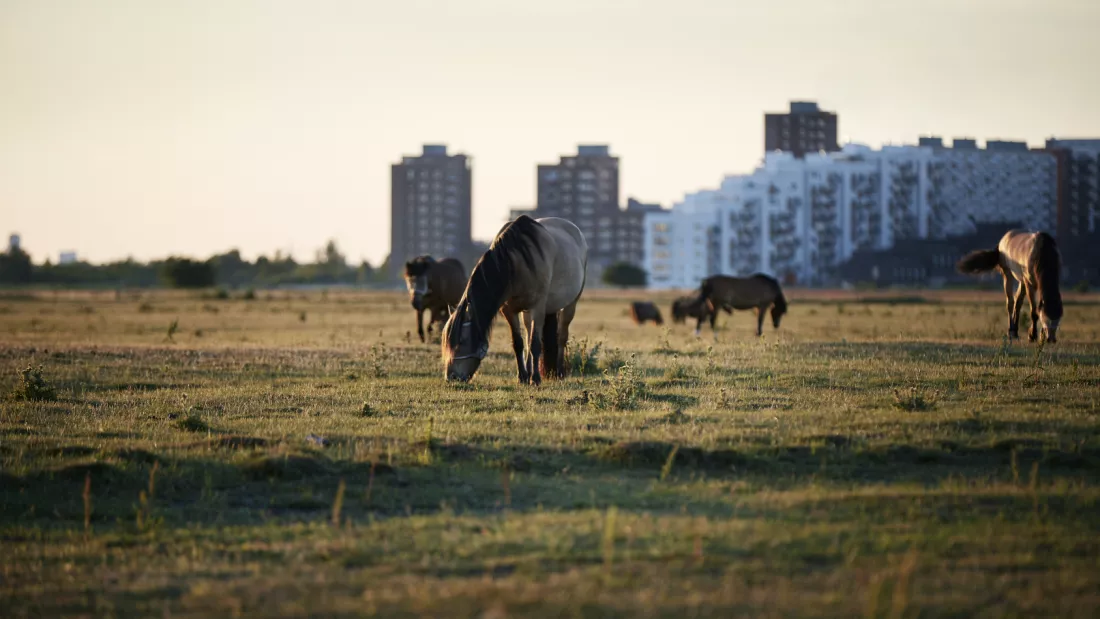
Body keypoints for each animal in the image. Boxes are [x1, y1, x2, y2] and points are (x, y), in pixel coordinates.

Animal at [442, 215, 589, 384]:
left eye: (462, 341)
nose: (451, 376)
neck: (516, 263)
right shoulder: (509, 310)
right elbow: (519, 343)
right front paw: (523, 377)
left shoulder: (538, 308)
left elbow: (535, 344)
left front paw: (535, 378)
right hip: (526, 312)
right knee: (528, 333)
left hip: (570, 304)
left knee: (562, 336)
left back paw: (559, 372)